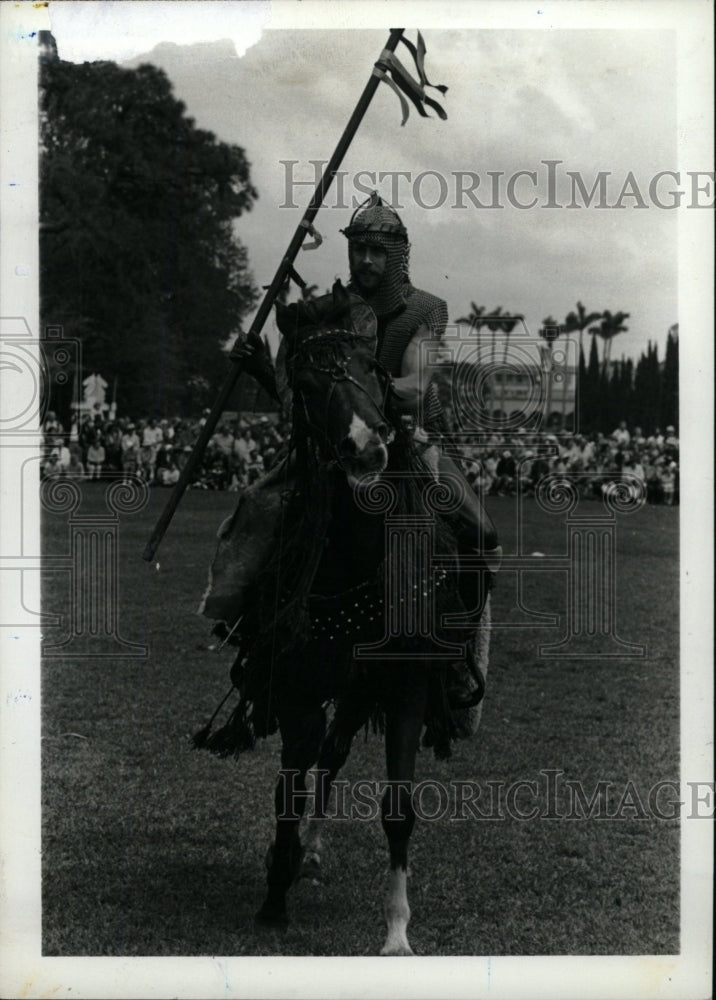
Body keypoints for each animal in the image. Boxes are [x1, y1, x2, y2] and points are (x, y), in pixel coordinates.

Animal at [197, 280, 492, 952]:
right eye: (305, 384)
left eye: (370, 369)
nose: (366, 447)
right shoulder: (298, 686)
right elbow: (290, 786)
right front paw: (274, 896)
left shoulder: (406, 686)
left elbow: (397, 809)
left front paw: (397, 931)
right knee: (322, 760)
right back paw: (301, 855)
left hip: (364, 688)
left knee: (333, 756)